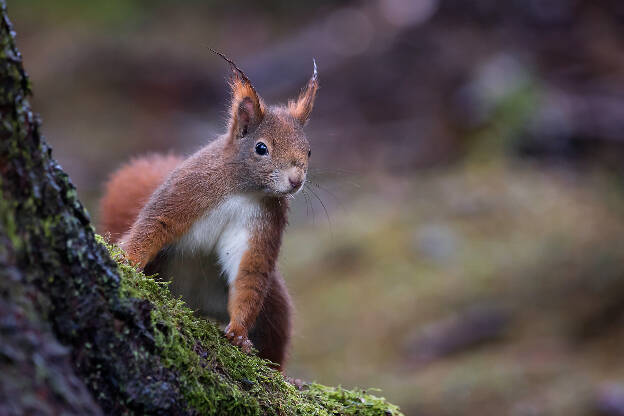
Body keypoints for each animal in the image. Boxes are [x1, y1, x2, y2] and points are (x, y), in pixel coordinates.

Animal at [100, 53, 320, 368]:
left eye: (309, 150)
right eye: (261, 148)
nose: (296, 180)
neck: (243, 191)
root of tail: (195, 302)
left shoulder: (262, 224)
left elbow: (250, 274)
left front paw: (239, 332)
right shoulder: (187, 191)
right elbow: (154, 224)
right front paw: (127, 259)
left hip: (275, 308)